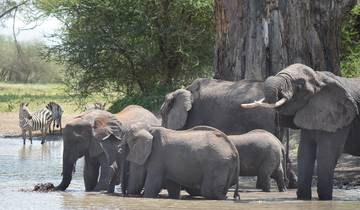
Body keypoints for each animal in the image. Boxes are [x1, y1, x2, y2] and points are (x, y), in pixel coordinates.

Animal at [240, 63, 360, 200]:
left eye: (299, 85)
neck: (319, 77)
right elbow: (304, 152)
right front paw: (303, 198)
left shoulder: (340, 117)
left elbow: (326, 154)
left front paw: (325, 199)